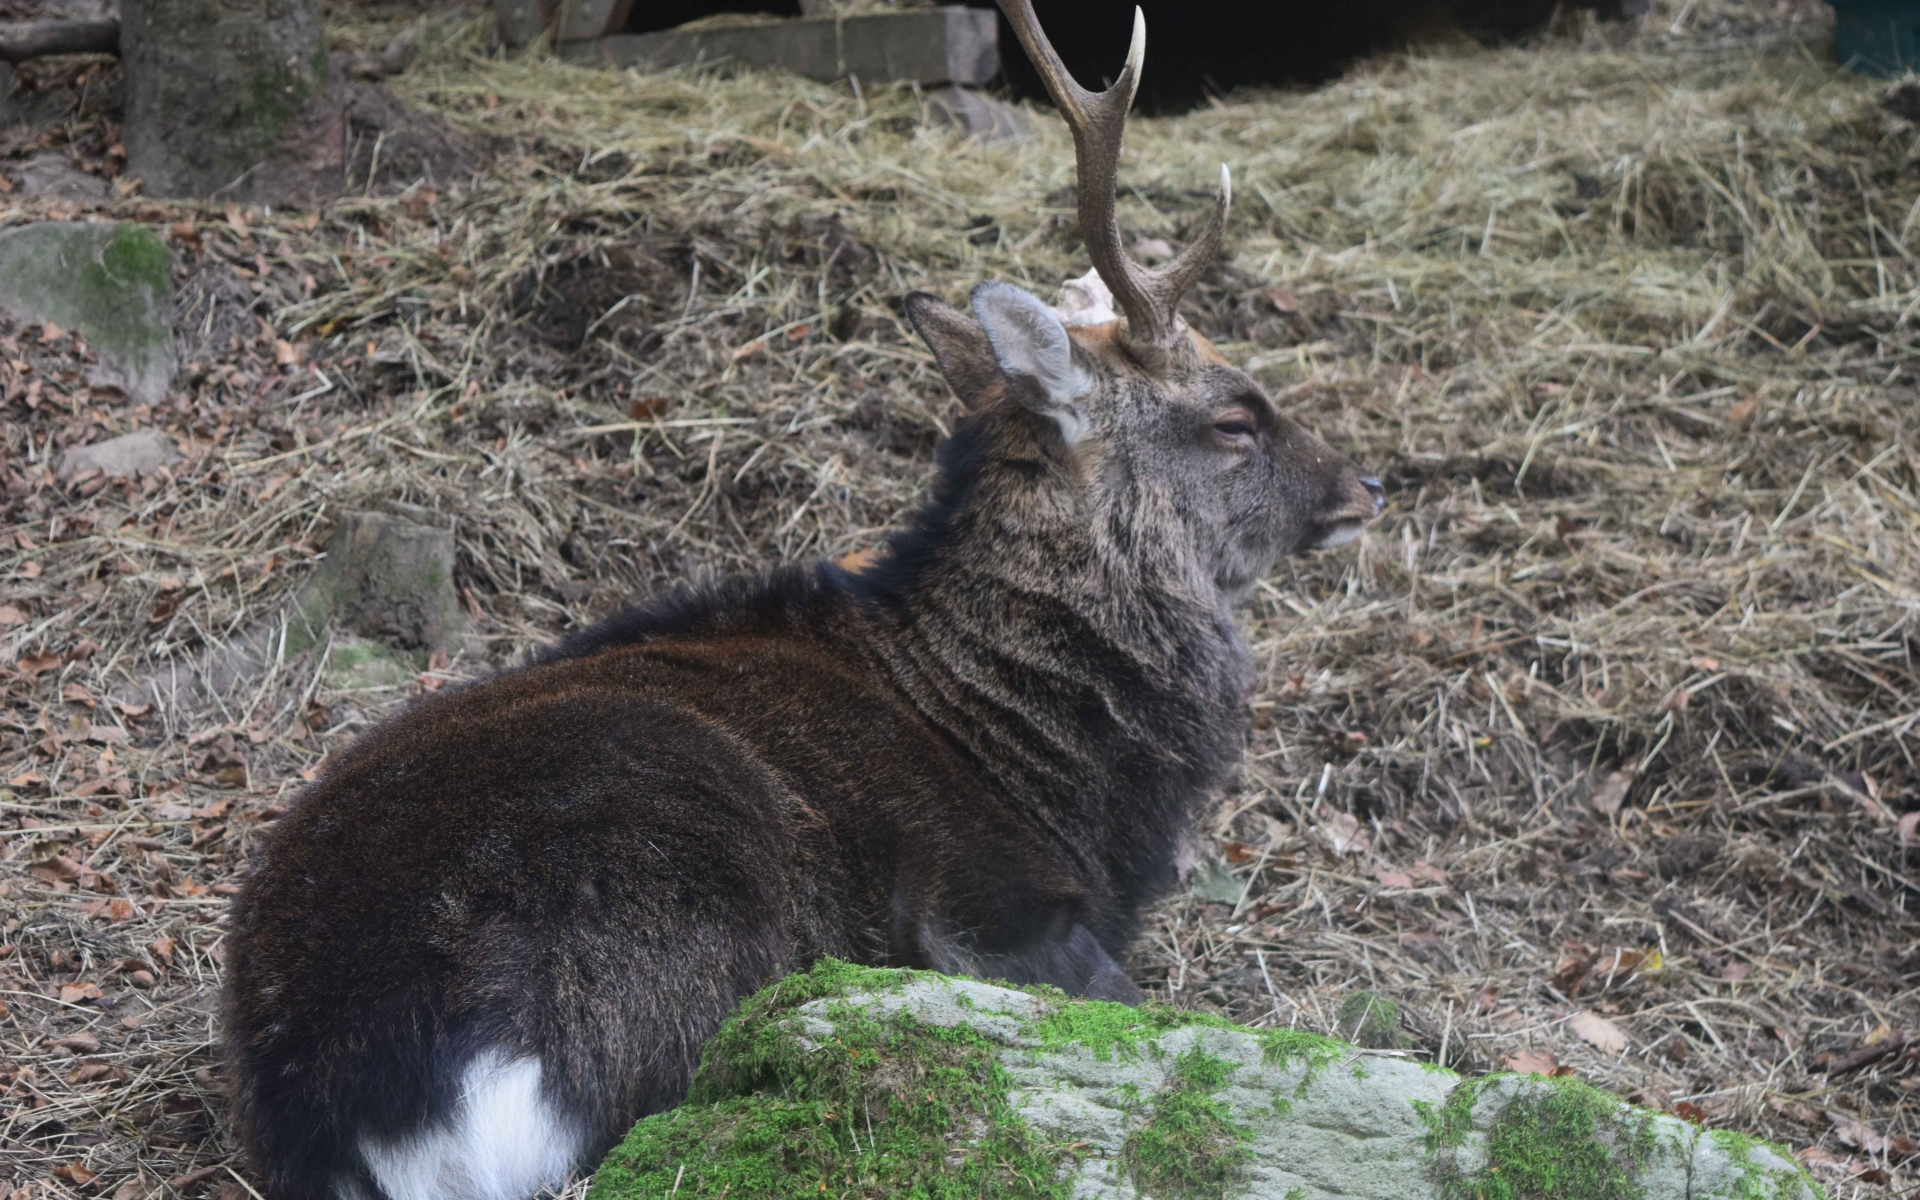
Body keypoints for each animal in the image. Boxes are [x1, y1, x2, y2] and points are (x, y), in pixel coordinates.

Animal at [228, 4, 1382, 1190]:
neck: (1061, 772)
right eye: (1236, 418)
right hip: (689, 884)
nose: (1363, 487)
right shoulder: (989, 901)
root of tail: (389, 1103)